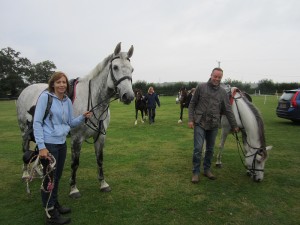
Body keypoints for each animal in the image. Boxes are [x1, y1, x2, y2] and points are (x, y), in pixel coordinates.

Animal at [16, 42, 134, 197]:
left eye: (132, 69)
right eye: (115, 67)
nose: (128, 96)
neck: (93, 100)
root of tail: (26, 90)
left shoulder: (100, 137)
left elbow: (100, 160)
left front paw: (103, 184)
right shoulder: (76, 138)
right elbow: (75, 163)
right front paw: (73, 188)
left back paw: (39, 171)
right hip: (24, 130)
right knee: (25, 149)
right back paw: (25, 174)